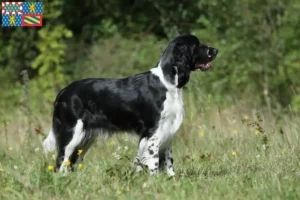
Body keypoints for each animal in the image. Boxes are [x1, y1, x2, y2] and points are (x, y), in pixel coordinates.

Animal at [42, 35, 218, 176]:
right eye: (197, 45)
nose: (216, 50)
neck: (167, 83)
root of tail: (63, 91)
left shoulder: (167, 130)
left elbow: (168, 160)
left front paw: (171, 178)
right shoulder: (153, 131)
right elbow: (153, 159)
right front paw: (154, 180)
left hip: (86, 137)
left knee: (72, 160)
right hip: (72, 133)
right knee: (61, 160)